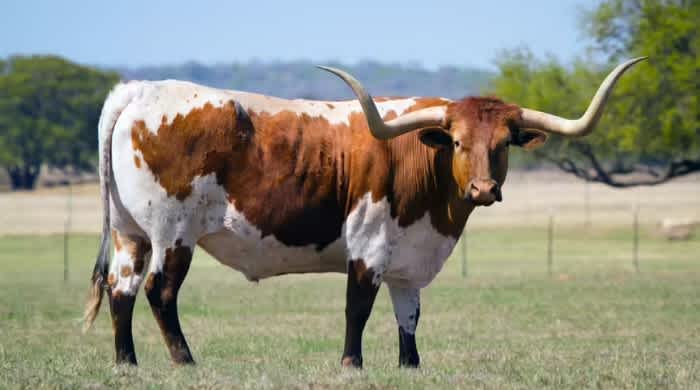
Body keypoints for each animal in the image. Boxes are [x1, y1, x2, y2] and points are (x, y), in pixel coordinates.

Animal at [82, 56, 644, 368]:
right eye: (458, 142)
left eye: (504, 143)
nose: (484, 188)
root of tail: (141, 90)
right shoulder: (369, 250)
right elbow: (358, 309)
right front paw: (352, 364)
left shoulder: (408, 259)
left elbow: (409, 317)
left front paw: (411, 366)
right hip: (172, 232)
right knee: (160, 292)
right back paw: (185, 362)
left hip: (132, 234)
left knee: (121, 290)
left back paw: (127, 363)